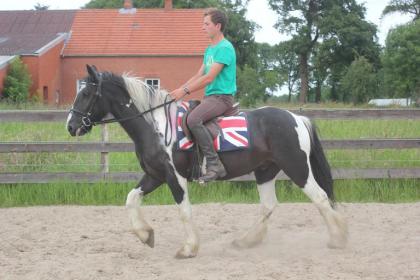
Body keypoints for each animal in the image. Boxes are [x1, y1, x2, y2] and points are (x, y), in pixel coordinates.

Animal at [66, 65, 348, 258]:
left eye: (87, 93)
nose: (70, 126)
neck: (155, 126)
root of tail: (297, 118)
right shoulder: (155, 175)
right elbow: (130, 199)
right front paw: (146, 235)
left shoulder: (174, 177)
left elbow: (184, 211)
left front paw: (188, 248)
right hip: (266, 171)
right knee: (268, 206)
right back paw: (245, 242)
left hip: (297, 168)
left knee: (321, 198)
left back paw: (338, 239)